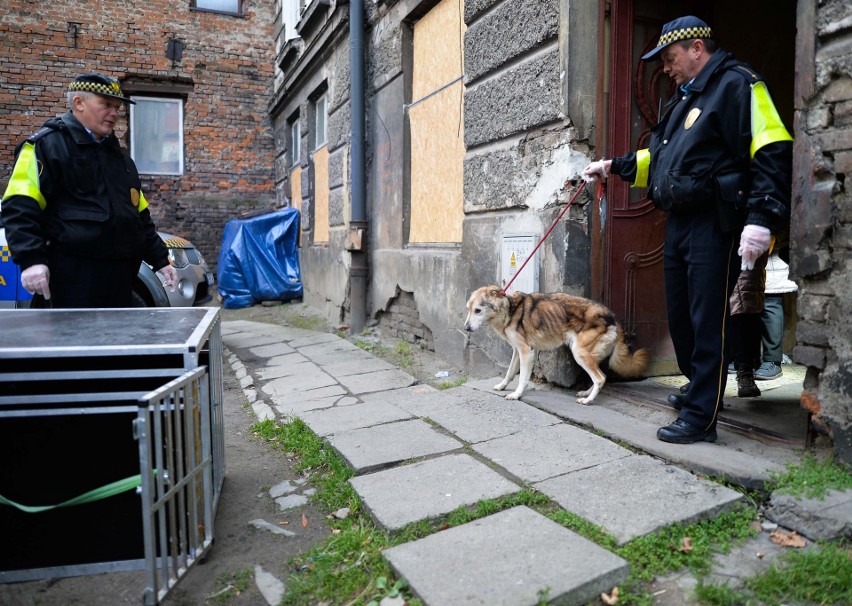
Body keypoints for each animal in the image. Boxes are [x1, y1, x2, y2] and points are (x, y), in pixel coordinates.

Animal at [462, 288, 648, 406]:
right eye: (468, 310)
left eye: (478, 310)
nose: (466, 328)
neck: (510, 310)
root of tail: (613, 317)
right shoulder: (517, 351)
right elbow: (509, 373)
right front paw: (502, 386)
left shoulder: (526, 352)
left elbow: (522, 378)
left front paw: (516, 395)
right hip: (588, 356)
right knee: (602, 376)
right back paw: (586, 394)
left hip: (580, 354)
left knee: (600, 378)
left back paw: (587, 401)